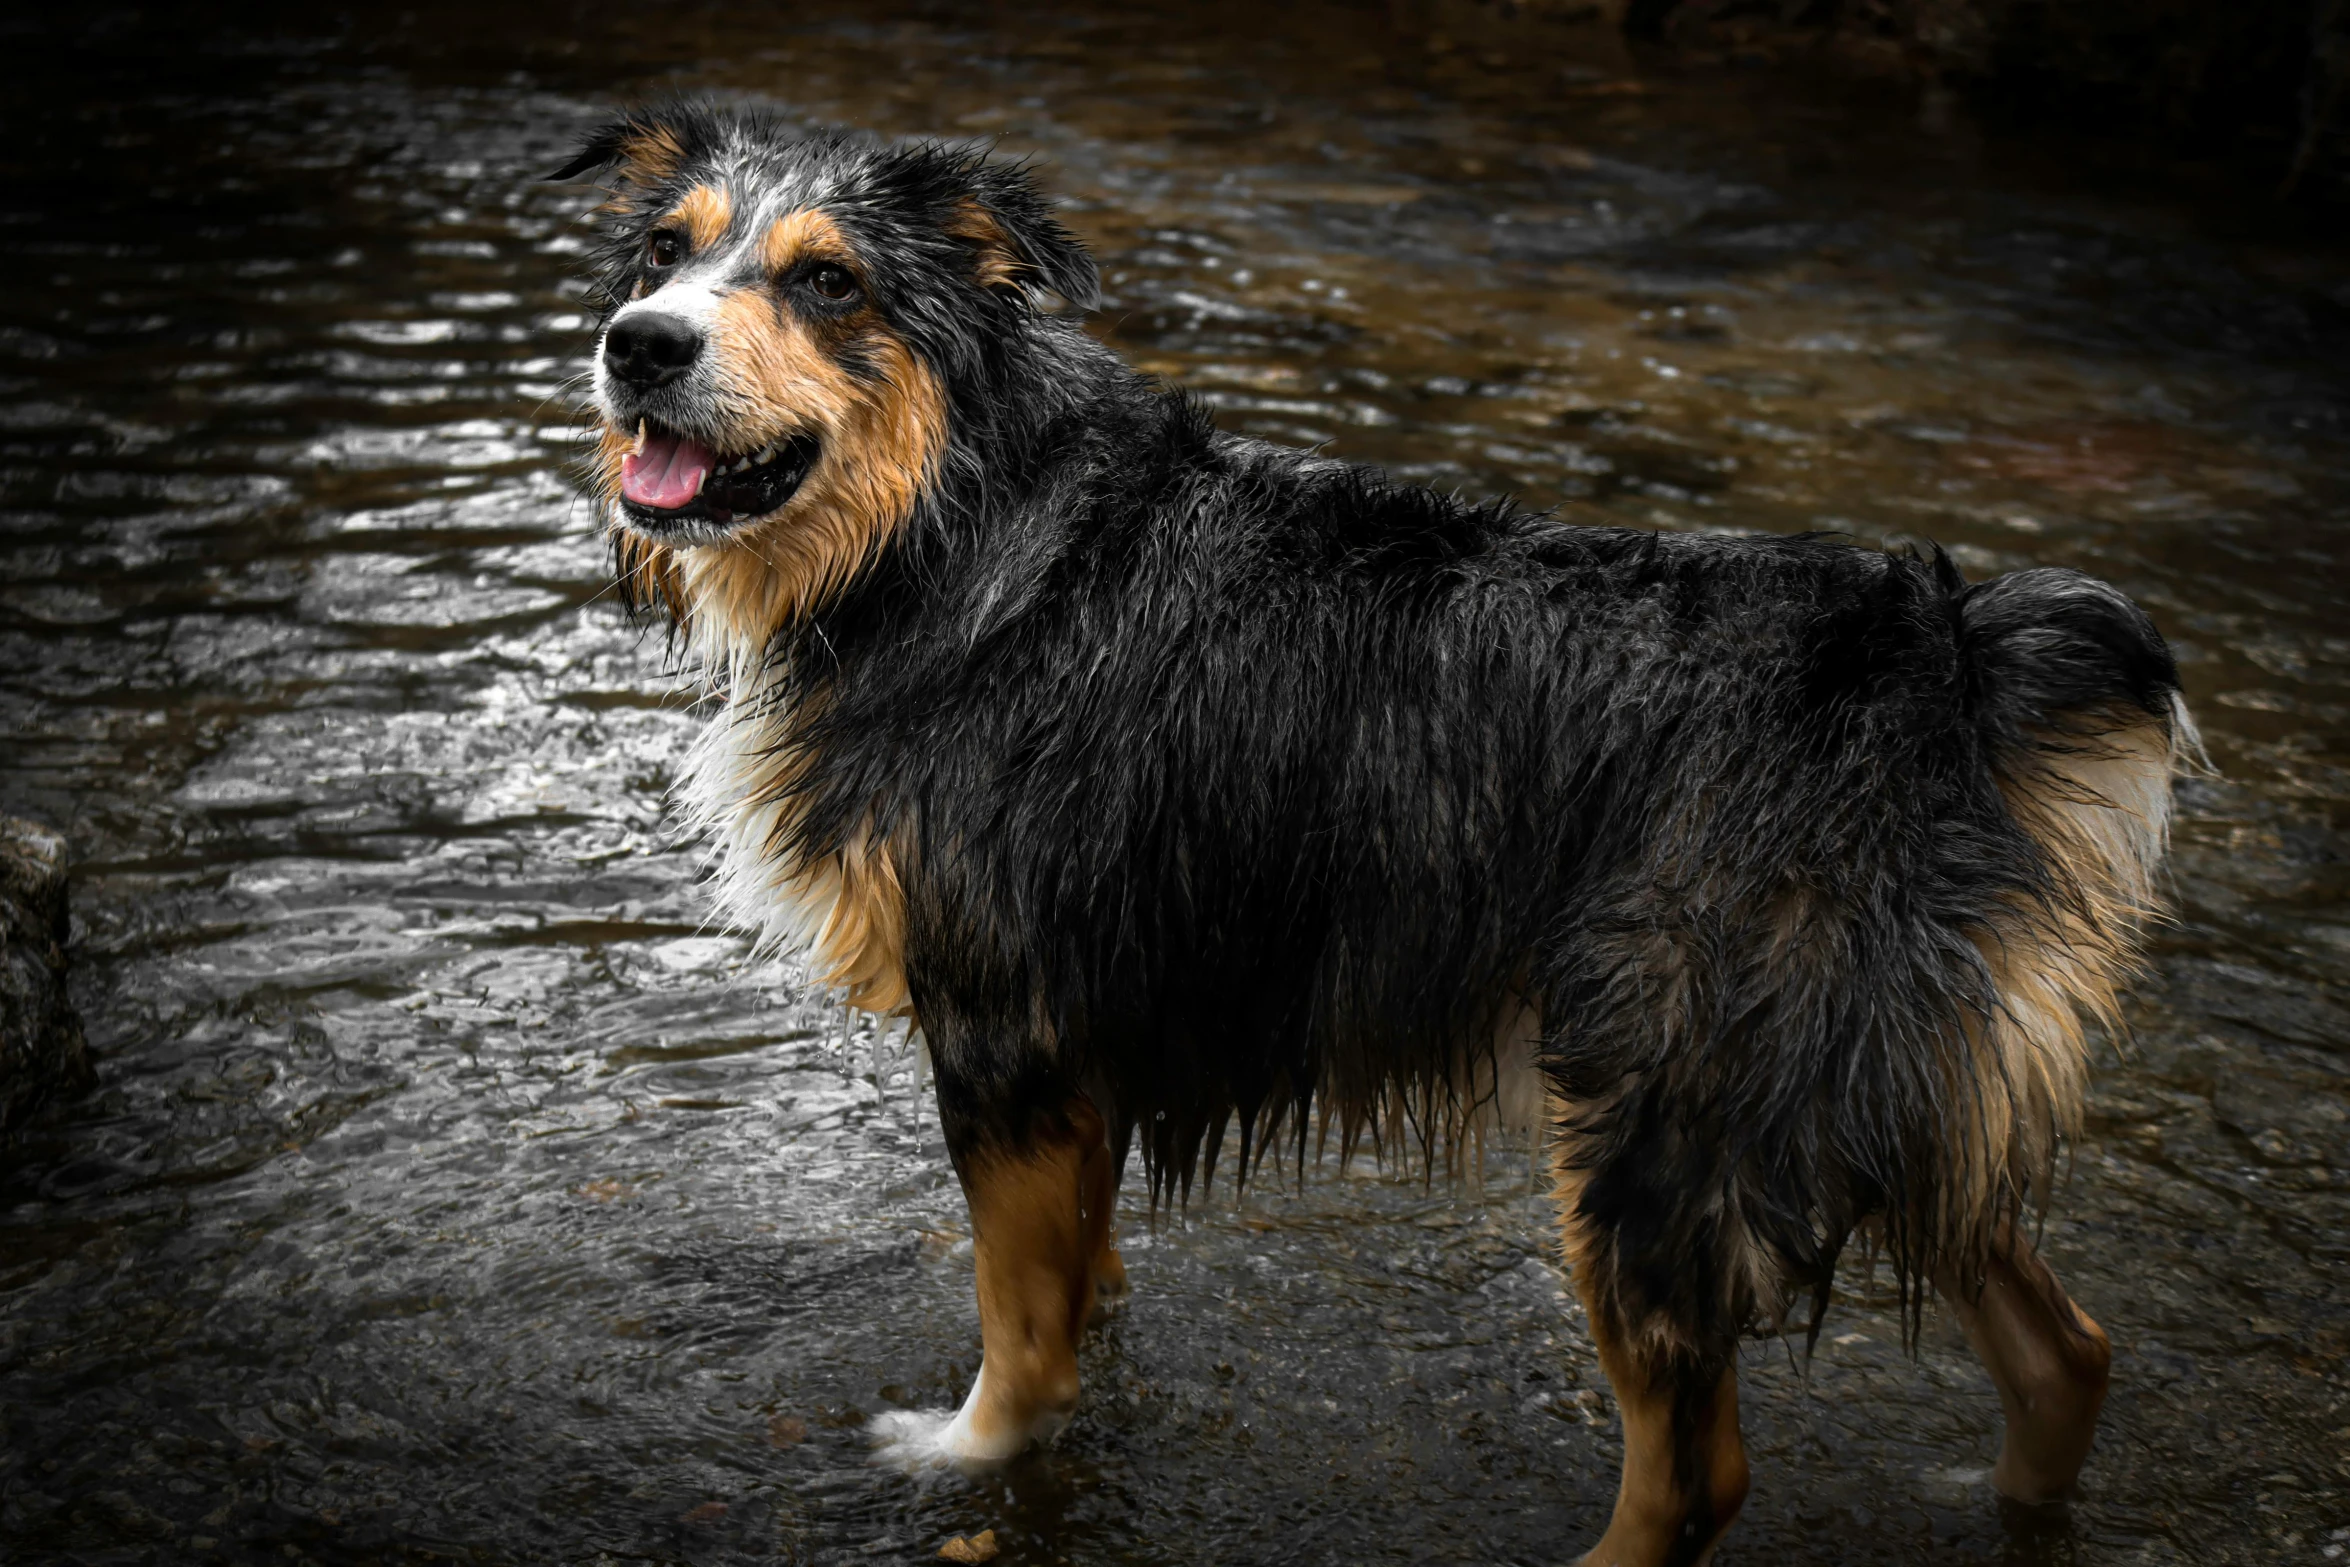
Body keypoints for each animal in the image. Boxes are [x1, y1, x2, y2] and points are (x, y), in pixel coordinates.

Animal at [540, 103, 2190, 1559]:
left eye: (829, 280)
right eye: (662, 255)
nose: (642, 345)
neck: (954, 530)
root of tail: (1949, 657)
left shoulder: (1002, 1025)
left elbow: (1016, 1328)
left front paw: (970, 1452)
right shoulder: (1084, 1041)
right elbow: (1071, 1272)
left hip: (1664, 1116)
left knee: (1697, 1475)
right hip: (1877, 1077)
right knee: (2069, 1346)